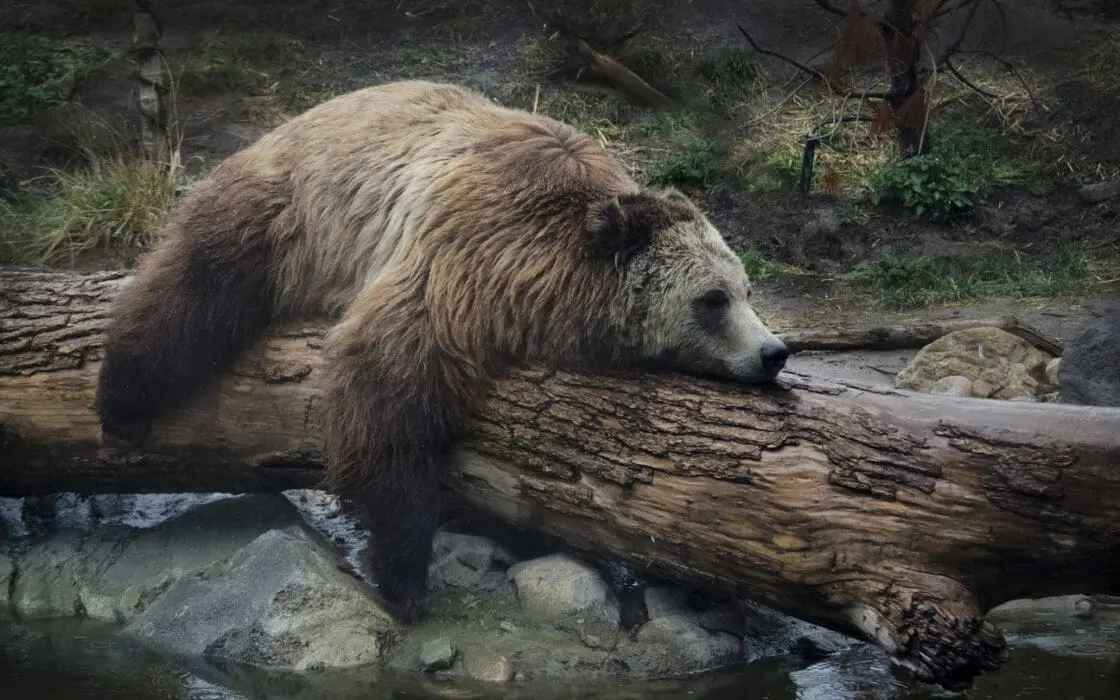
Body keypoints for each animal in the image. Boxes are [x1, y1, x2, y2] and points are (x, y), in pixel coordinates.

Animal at [95, 80, 790, 623]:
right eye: (712, 299)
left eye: (747, 290)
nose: (774, 352)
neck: (553, 279)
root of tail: (302, 115)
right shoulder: (468, 255)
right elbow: (388, 383)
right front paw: (404, 573)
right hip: (290, 211)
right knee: (197, 284)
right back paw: (122, 400)